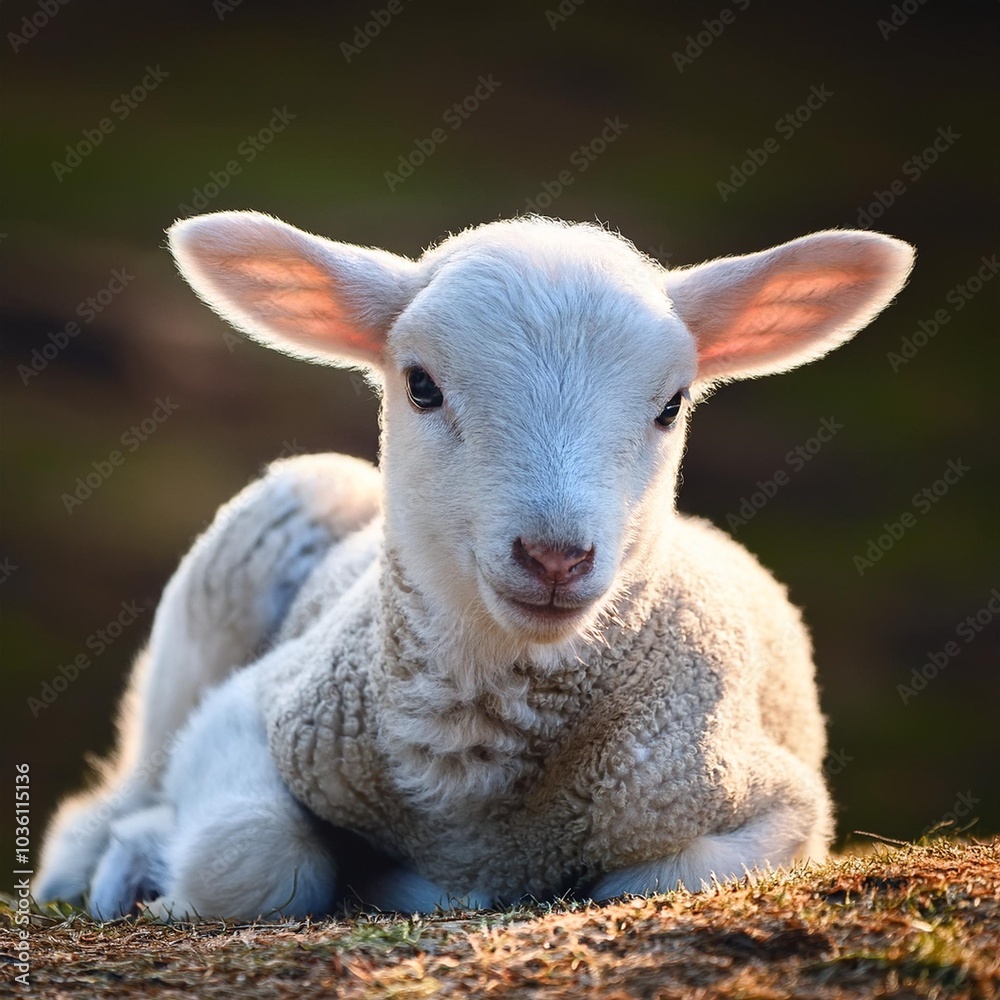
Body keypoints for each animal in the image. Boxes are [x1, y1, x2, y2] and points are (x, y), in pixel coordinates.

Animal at [36, 212, 914, 920]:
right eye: (422, 386)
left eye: (672, 405)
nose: (555, 556)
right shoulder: (255, 705)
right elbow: (253, 861)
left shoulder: (774, 798)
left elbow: (659, 876)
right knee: (132, 783)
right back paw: (109, 860)